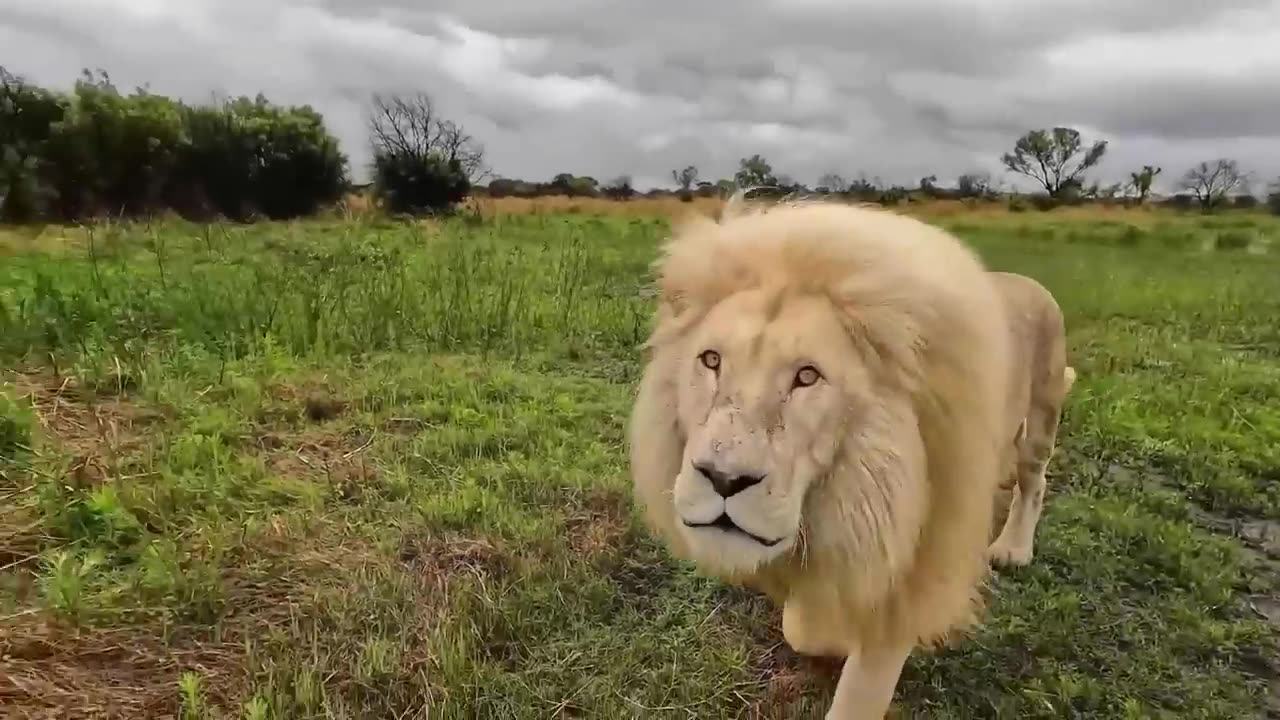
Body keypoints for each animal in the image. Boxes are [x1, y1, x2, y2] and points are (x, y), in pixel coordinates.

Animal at [629, 197, 1080, 717]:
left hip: (1042, 415)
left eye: (807, 376)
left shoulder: (914, 571)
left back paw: (1013, 549)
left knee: (1035, 481)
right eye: (711, 360)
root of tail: (1030, 283)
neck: (847, 489)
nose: (723, 479)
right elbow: (804, 624)